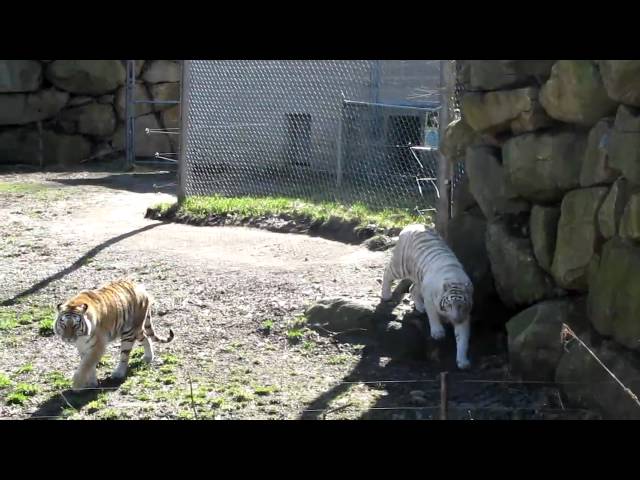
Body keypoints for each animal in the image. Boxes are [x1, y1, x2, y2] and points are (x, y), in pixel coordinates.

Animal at [380, 223, 476, 370]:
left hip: (419, 278)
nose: (455, 319)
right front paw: (438, 333)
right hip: (400, 266)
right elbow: (433, 315)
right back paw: (386, 295)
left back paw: (420, 307)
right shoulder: (430, 297)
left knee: (412, 289)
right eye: (448, 305)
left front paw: (463, 362)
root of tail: (412, 224)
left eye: (461, 306)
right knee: (387, 272)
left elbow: (462, 338)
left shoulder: (465, 315)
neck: (455, 281)